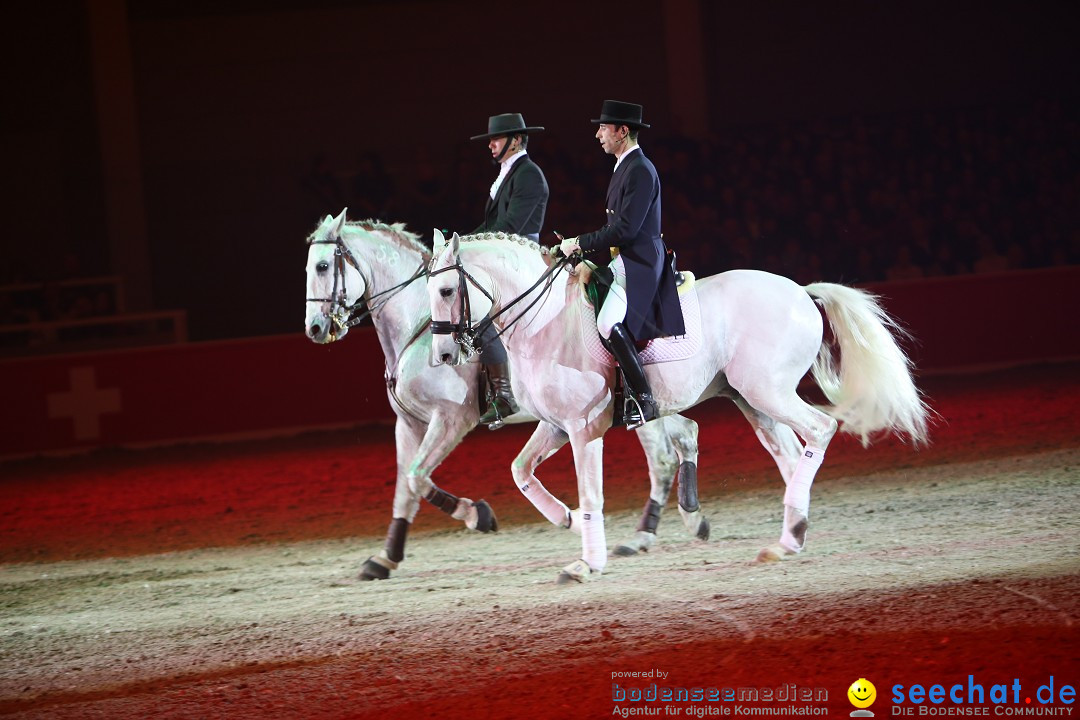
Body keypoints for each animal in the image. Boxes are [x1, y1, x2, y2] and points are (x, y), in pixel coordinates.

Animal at [304, 209, 708, 578]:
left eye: (323, 266)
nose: (315, 329)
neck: (418, 324)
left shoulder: (451, 419)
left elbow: (418, 477)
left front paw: (479, 516)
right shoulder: (408, 424)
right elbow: (405, 487)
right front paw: (385, 558)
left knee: (662, 458)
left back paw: (646, 533)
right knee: (685, 434)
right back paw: (681, 522)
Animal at [423, 231, 928, 587]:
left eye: (446, 291)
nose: (444, 355)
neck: (545, 321)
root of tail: (801, 292)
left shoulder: (584, 428)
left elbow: (592, 495)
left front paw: (587, 563)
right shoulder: (555, 424)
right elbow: (521, 471)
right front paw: (563, 518)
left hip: (769, 392)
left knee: (820, 430)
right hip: (753, 400)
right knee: (789, 454)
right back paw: (788, 540)